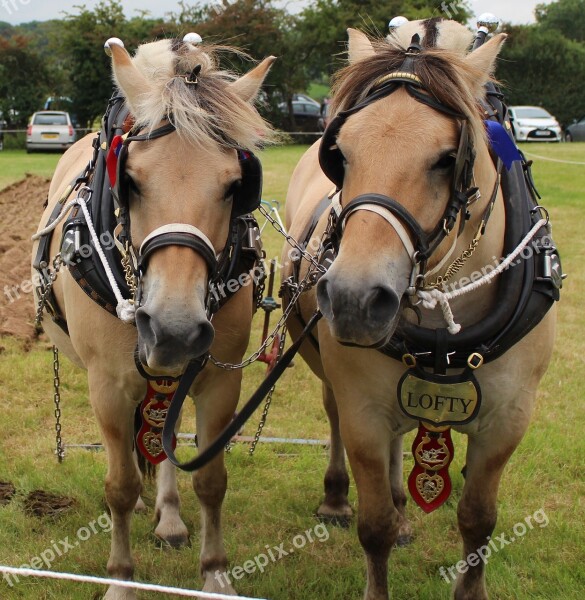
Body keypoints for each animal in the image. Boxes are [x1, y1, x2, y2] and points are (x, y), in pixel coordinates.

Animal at [33, 38, 274, 600]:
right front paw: (120, 580)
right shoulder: (108, 384)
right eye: (132, 181)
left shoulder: (219, 381)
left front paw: (215, 573)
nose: (174, 330)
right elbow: (120, 484)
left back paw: (168, 518)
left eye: (236, 185)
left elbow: (210, 478)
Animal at [282, 18, 556, 600]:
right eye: (340, 154)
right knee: (337, 417)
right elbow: (374, 526)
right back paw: (338, 497)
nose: (355, 299)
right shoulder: (363, 409)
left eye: (448, 158)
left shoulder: (509, 419)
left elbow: (478, 518)